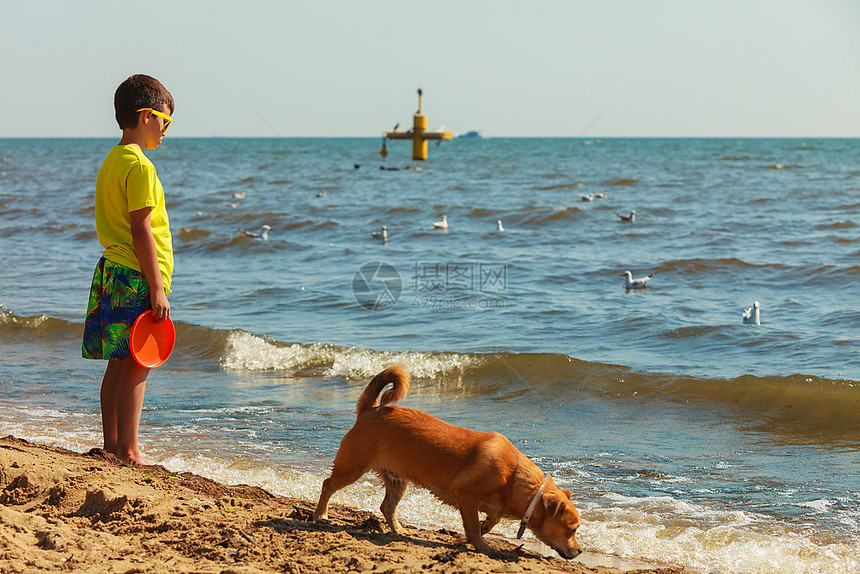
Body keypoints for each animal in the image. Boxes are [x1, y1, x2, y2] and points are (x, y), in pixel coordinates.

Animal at [312, 366, 580, 560]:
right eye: (573, 529)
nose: (579, 552)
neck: (514, 478)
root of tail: (371, 409)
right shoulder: (466, 495)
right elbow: (473, 528)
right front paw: (483, 546)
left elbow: (489, 521)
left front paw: (484, 528)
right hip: (352, 467)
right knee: (328, 484)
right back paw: (320, 514)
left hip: (398, 480)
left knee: (387, 507)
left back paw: (398, 530)